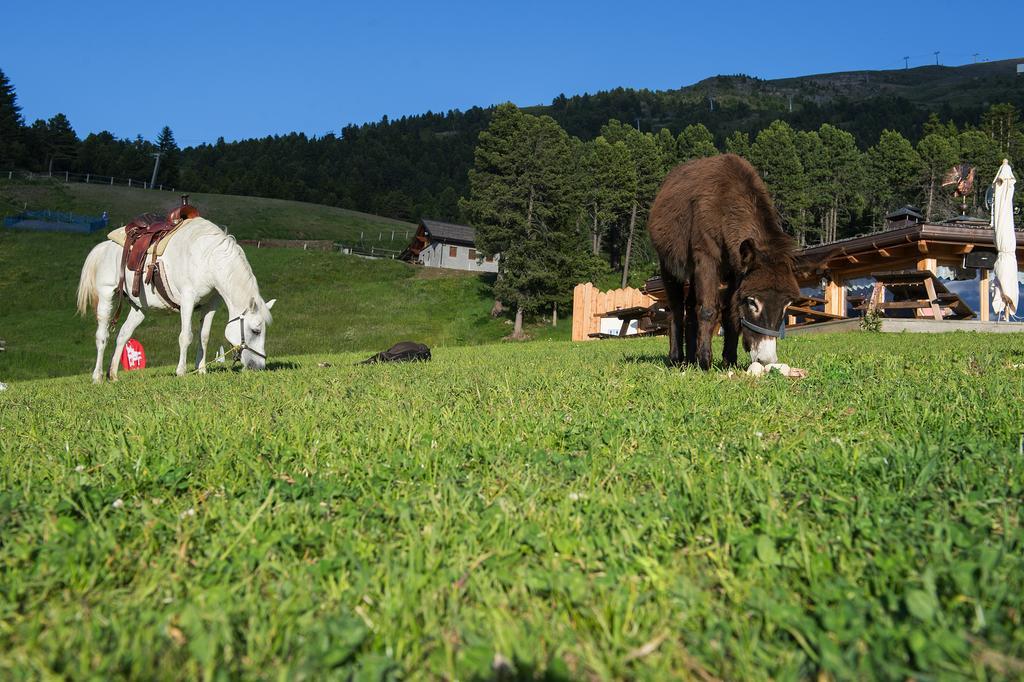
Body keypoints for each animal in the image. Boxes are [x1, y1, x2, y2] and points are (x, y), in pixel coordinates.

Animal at [77, 216, 276, 378]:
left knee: (123, 335)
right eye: (256, 331)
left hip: (139, 308)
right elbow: (186, 336)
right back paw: (97, 376)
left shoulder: (211, 305)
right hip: (106, 295)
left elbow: (204, 336)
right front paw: (181, 371)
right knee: (102, 336)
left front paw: (201, 369)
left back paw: (113, 374)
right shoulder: (188, 300)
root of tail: (105, 246)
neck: (207, 258)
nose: (259, 366)